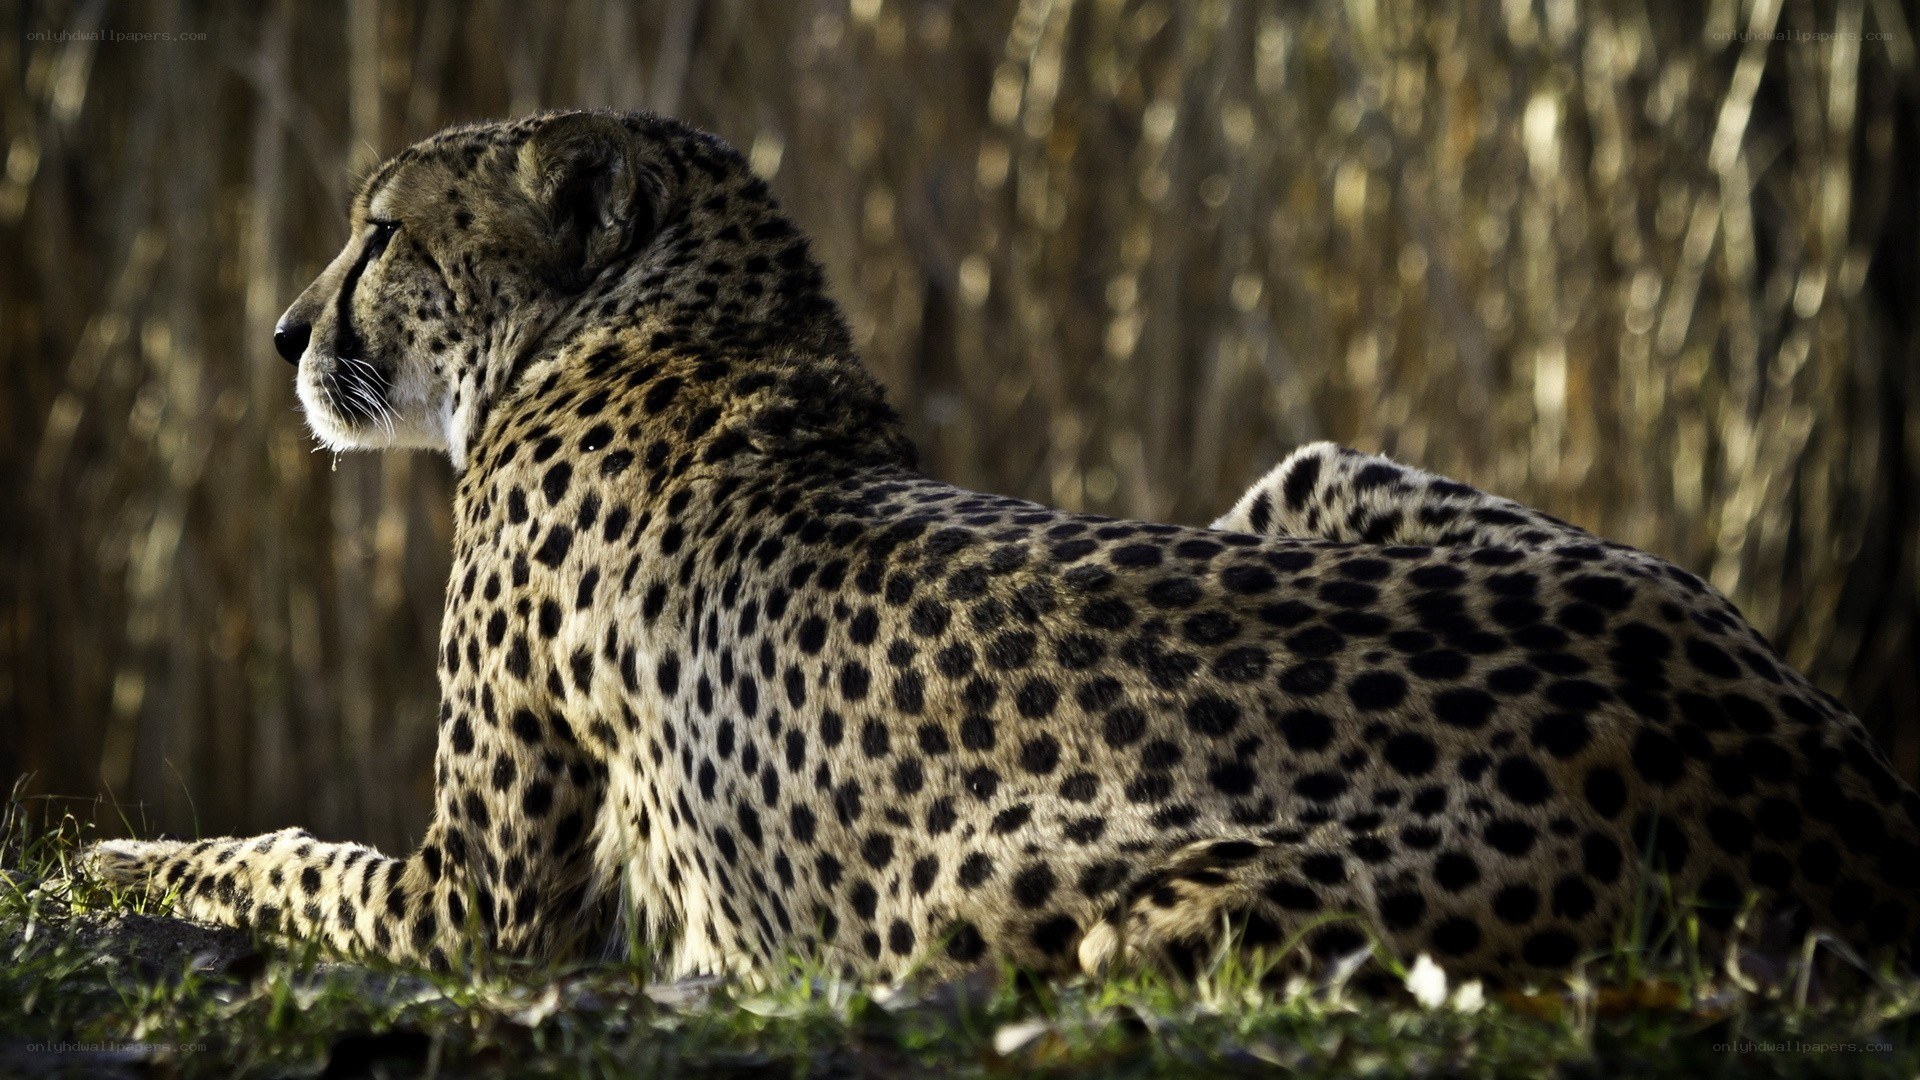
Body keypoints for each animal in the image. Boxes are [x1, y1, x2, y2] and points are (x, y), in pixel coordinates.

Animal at [81, 109, 1920, 989]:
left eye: (382, 231)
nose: (279, 335)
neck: (670, 320)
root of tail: (1819, 776)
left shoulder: (481, 902)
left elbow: (276, 856)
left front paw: (105, 859)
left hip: (1047, 904)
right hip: (1322, 474)